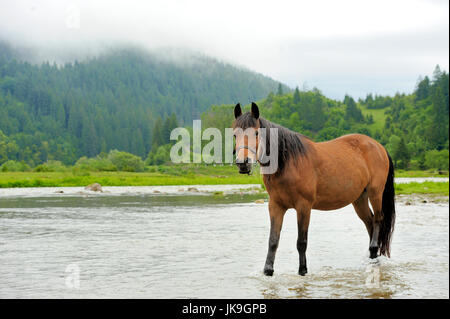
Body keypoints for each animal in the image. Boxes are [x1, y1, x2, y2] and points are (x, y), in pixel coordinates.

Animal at [234, 103, 396, 278]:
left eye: (256, 133)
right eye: (235, 134)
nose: (243, 163)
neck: (289, 162)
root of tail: (379, 147)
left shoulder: (304, 206)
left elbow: (301, 242)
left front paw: (302, 270)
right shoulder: (276, 206)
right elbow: (273, 241)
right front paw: (268, 271)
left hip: (375, 193)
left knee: (378, 219)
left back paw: (374, 252)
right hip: (359, 199)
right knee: (369, 222)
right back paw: (373, 257)